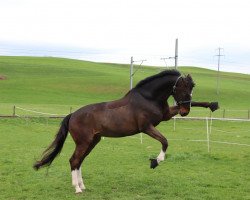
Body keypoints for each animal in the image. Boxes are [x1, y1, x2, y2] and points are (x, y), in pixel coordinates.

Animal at [33, 69, 219, 193]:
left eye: (192, 86)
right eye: (182, 87)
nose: (184, 111)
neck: (149, 97)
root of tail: (72, 115)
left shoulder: (165, 116)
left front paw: (213, 105)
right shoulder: (146, 127)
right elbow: (165, 141)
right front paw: (155, 162)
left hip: (93, 141)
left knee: (79, 161)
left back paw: (82, 186)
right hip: (83, 142)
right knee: (74, 160)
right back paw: (77, 189)